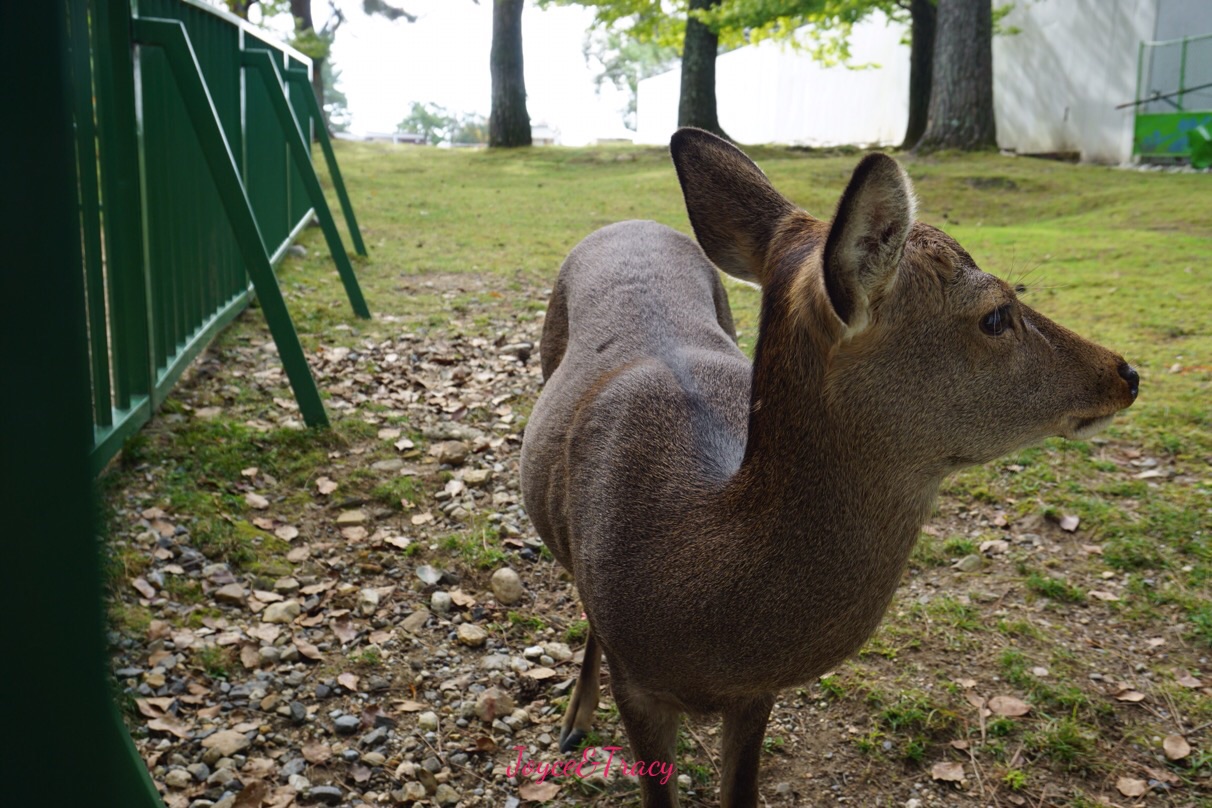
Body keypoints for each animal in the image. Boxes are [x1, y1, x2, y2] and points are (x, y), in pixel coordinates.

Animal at [516, 129, 1139, 804]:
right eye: (997, 313)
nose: (1126, 372)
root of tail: (628, 221)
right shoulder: (639, 687)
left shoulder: (755, 695)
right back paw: (573, 723)